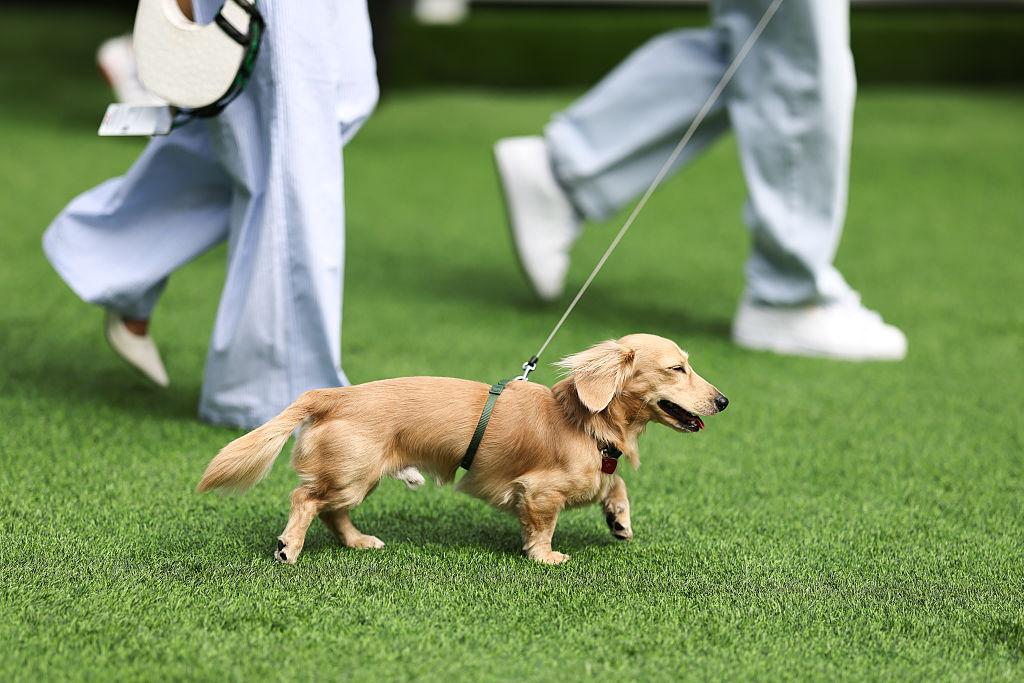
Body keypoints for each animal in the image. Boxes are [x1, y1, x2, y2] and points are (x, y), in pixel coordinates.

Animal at [197, 333, 728, 564]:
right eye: (677, 369)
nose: (723, 400)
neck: (584, 421)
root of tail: (331, 394)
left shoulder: (597, 471)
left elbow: (614, 485)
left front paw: (619, 520)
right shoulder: (540, 492)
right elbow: (543, 526)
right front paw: (545, 557)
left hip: (359, 480)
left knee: (331, 512)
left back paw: (358, 541)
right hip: (351, 476)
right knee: (305, 499)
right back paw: (289, 546)